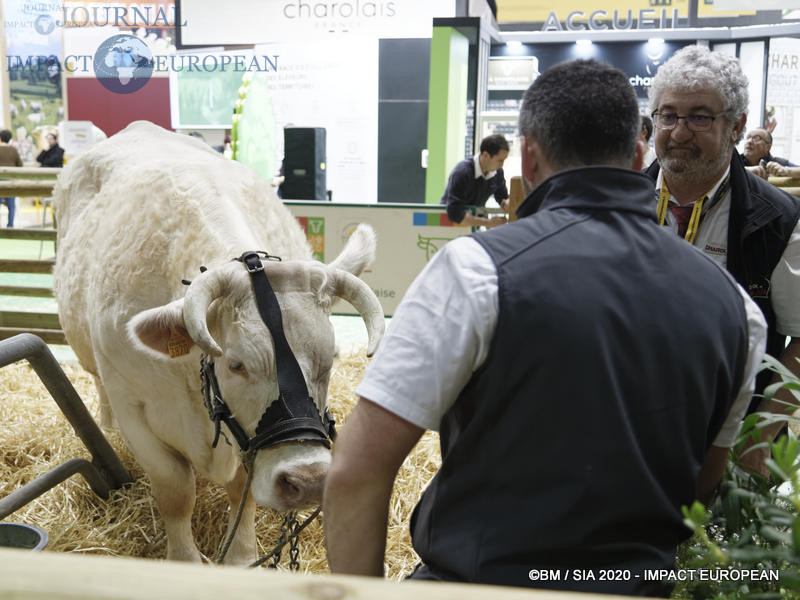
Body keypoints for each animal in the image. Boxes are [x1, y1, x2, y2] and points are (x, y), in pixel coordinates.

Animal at [53, 120, 384, 564]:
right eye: (236, 364)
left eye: (329, 359)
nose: (309, 479)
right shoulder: (134, 408)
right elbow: (176, 491)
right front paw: (185, 559)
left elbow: (240, 487)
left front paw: (241, 555)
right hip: (96, 367)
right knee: (98, 387)